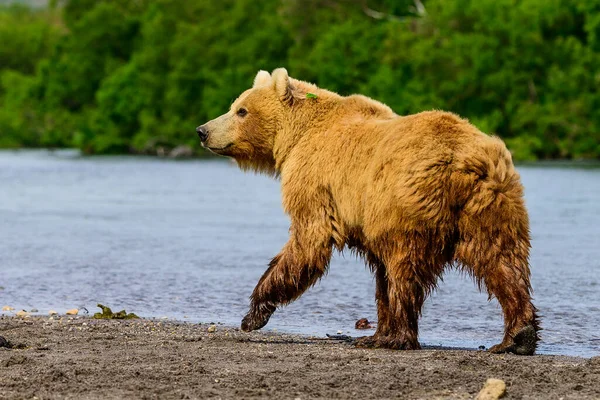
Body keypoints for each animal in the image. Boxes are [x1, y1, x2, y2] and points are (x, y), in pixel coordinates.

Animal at [196, 67, 540, 354]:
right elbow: (379, 273)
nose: (202, 130)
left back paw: (399, 337)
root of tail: (462, 161)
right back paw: (517, 336)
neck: (295, 136)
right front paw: (377, 331)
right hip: (492, 204)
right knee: (501, 261)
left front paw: (254, 312)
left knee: (405, 267)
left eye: (241, 110)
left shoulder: (317, 185)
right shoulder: (366, 217)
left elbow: (307, 242)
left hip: (409, 203)